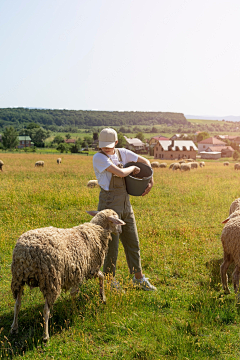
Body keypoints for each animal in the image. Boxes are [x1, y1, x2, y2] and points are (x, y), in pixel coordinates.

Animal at [10, 208, 124, 340]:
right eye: (116, 220)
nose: (120, 231)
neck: (96, 230)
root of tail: (27, 252)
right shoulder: (88, 269)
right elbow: (81, 288)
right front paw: (79, 308)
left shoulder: (82, 271)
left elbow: (96, 279)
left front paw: (101, 298)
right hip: (51, 280)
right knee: (45, 310)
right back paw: (45, 336)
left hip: (18, 278)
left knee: (17, 304)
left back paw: (14, 327)